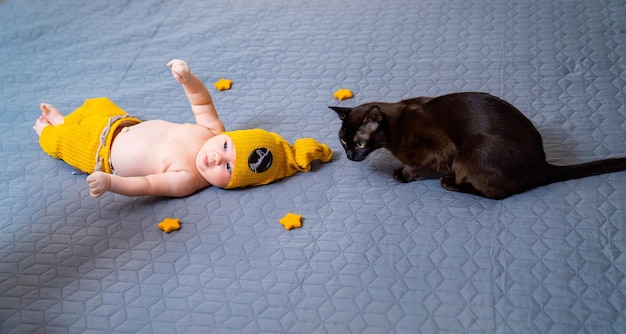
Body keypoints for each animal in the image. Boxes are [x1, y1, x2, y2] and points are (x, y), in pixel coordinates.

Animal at [330, 92, 624, 198]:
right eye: (343, 141)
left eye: (359, 143)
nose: (350, 157)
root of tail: (541, 163)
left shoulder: (442, 150)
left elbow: (417, 168)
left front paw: (402, 175)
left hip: (470, 151)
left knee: (497, 194)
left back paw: (450, 184)